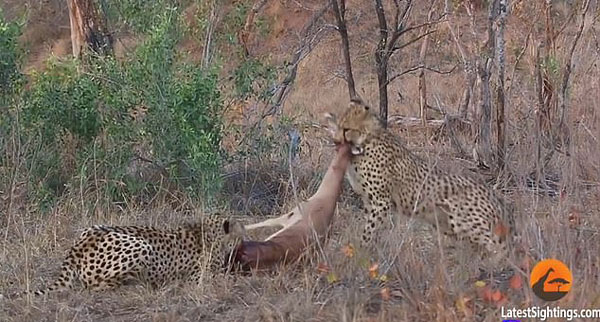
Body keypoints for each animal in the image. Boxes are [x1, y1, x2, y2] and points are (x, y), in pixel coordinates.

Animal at [19, 214, 244, 296]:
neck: (207, 230)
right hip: (141, 245)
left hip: (94, 226)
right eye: (240, 229)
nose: (244, 238)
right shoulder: (199, 277)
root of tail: (76, 250)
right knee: (95, 286)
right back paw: (136, 285)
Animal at [326, 100, 512, 256]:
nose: (335, 141)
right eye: (338, 127)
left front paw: (360, 252)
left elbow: (368, 231)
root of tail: (491, 193)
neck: (365, 142)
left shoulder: (381, 202)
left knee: (501, 249)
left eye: (346, 129)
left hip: (467, 224)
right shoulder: (368, 201)